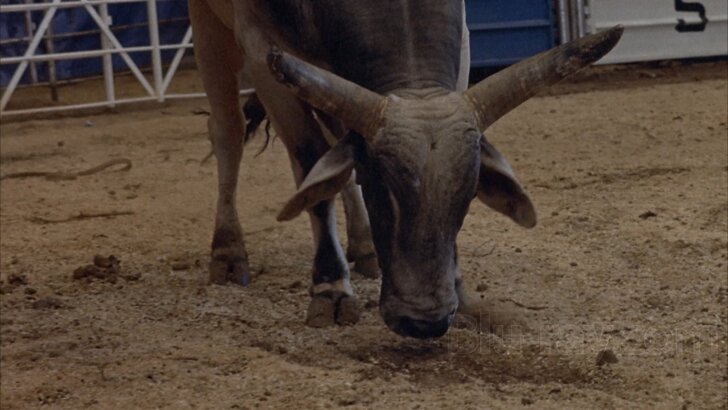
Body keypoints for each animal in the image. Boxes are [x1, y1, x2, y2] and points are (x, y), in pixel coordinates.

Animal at [189, 0, 622, 339]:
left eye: (468, 195)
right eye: (383, 191)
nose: (424, 321)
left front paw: (458, 285)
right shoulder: (262, 52)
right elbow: (313, 169)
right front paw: (331, 287)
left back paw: (364, 247)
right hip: (209, 30)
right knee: (227, 133)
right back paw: (228, 251)